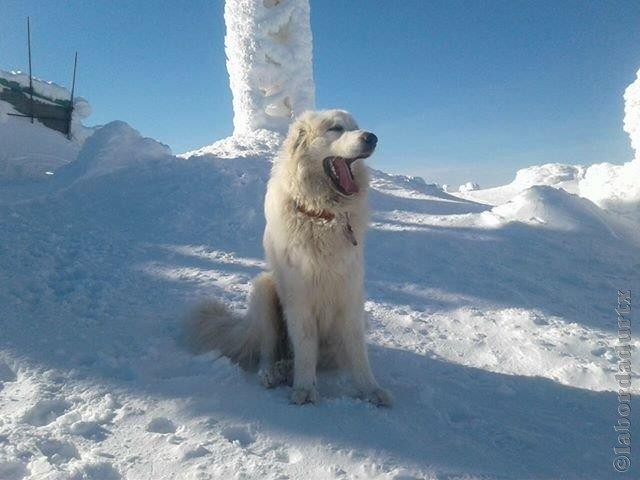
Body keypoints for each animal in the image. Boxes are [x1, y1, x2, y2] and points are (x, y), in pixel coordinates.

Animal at [188, 110, 392, 406]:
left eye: (356, 127)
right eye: (336, 128)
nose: (372, 138)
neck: (322, 216)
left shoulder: (350, 295)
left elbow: (357, 350)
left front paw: (370, 389)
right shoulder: (300, 299)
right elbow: (305, 347)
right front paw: (305, 389)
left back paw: (286, 370)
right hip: (264, 290)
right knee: (269, 352)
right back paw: (273, 373)